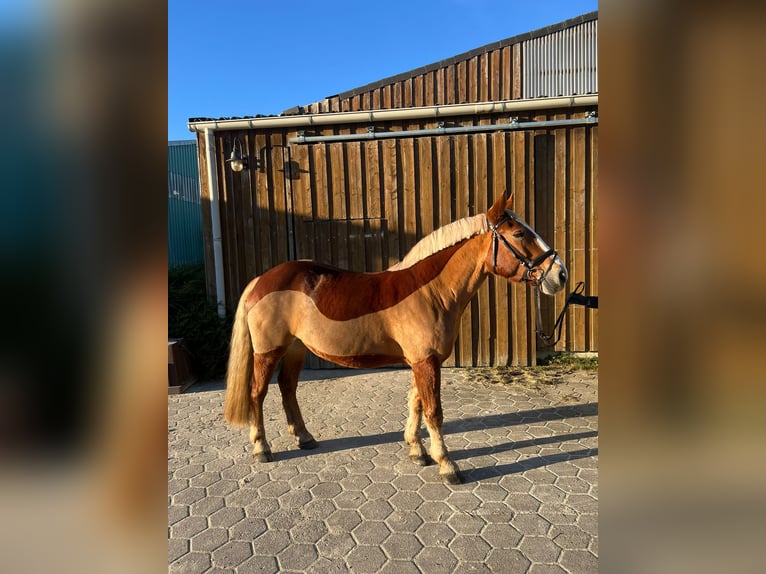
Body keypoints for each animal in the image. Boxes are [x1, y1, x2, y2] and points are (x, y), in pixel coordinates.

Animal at [225, 195, 568, 486]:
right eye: (520, 234)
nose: (560, 275)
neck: (431, 291)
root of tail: (261, 280)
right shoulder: (425, 360)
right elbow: (433, 411)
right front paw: (447, 465)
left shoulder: (423, 360)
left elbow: (415, 401)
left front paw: (417, 451)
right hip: (268, 351)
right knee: (257, 393)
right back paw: (262, 448)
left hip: (295, 349)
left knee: (288, 387)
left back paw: (304, 437)